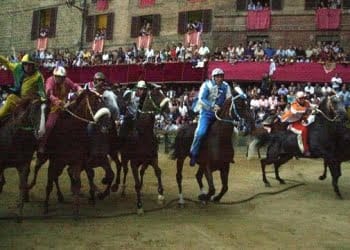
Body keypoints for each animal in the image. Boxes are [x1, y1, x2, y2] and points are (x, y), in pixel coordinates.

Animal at [113, 85, 170, 214]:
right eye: (156, 94)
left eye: (164, 93)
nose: (169, 109)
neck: (143, 135)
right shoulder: (134, 162)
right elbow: (137, 183)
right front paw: (139, 206)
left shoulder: (152, 158)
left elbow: (158, 172)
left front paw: (161, 195)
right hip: (125, 158)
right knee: (124, 170)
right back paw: (122, 189)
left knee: (142, 171)